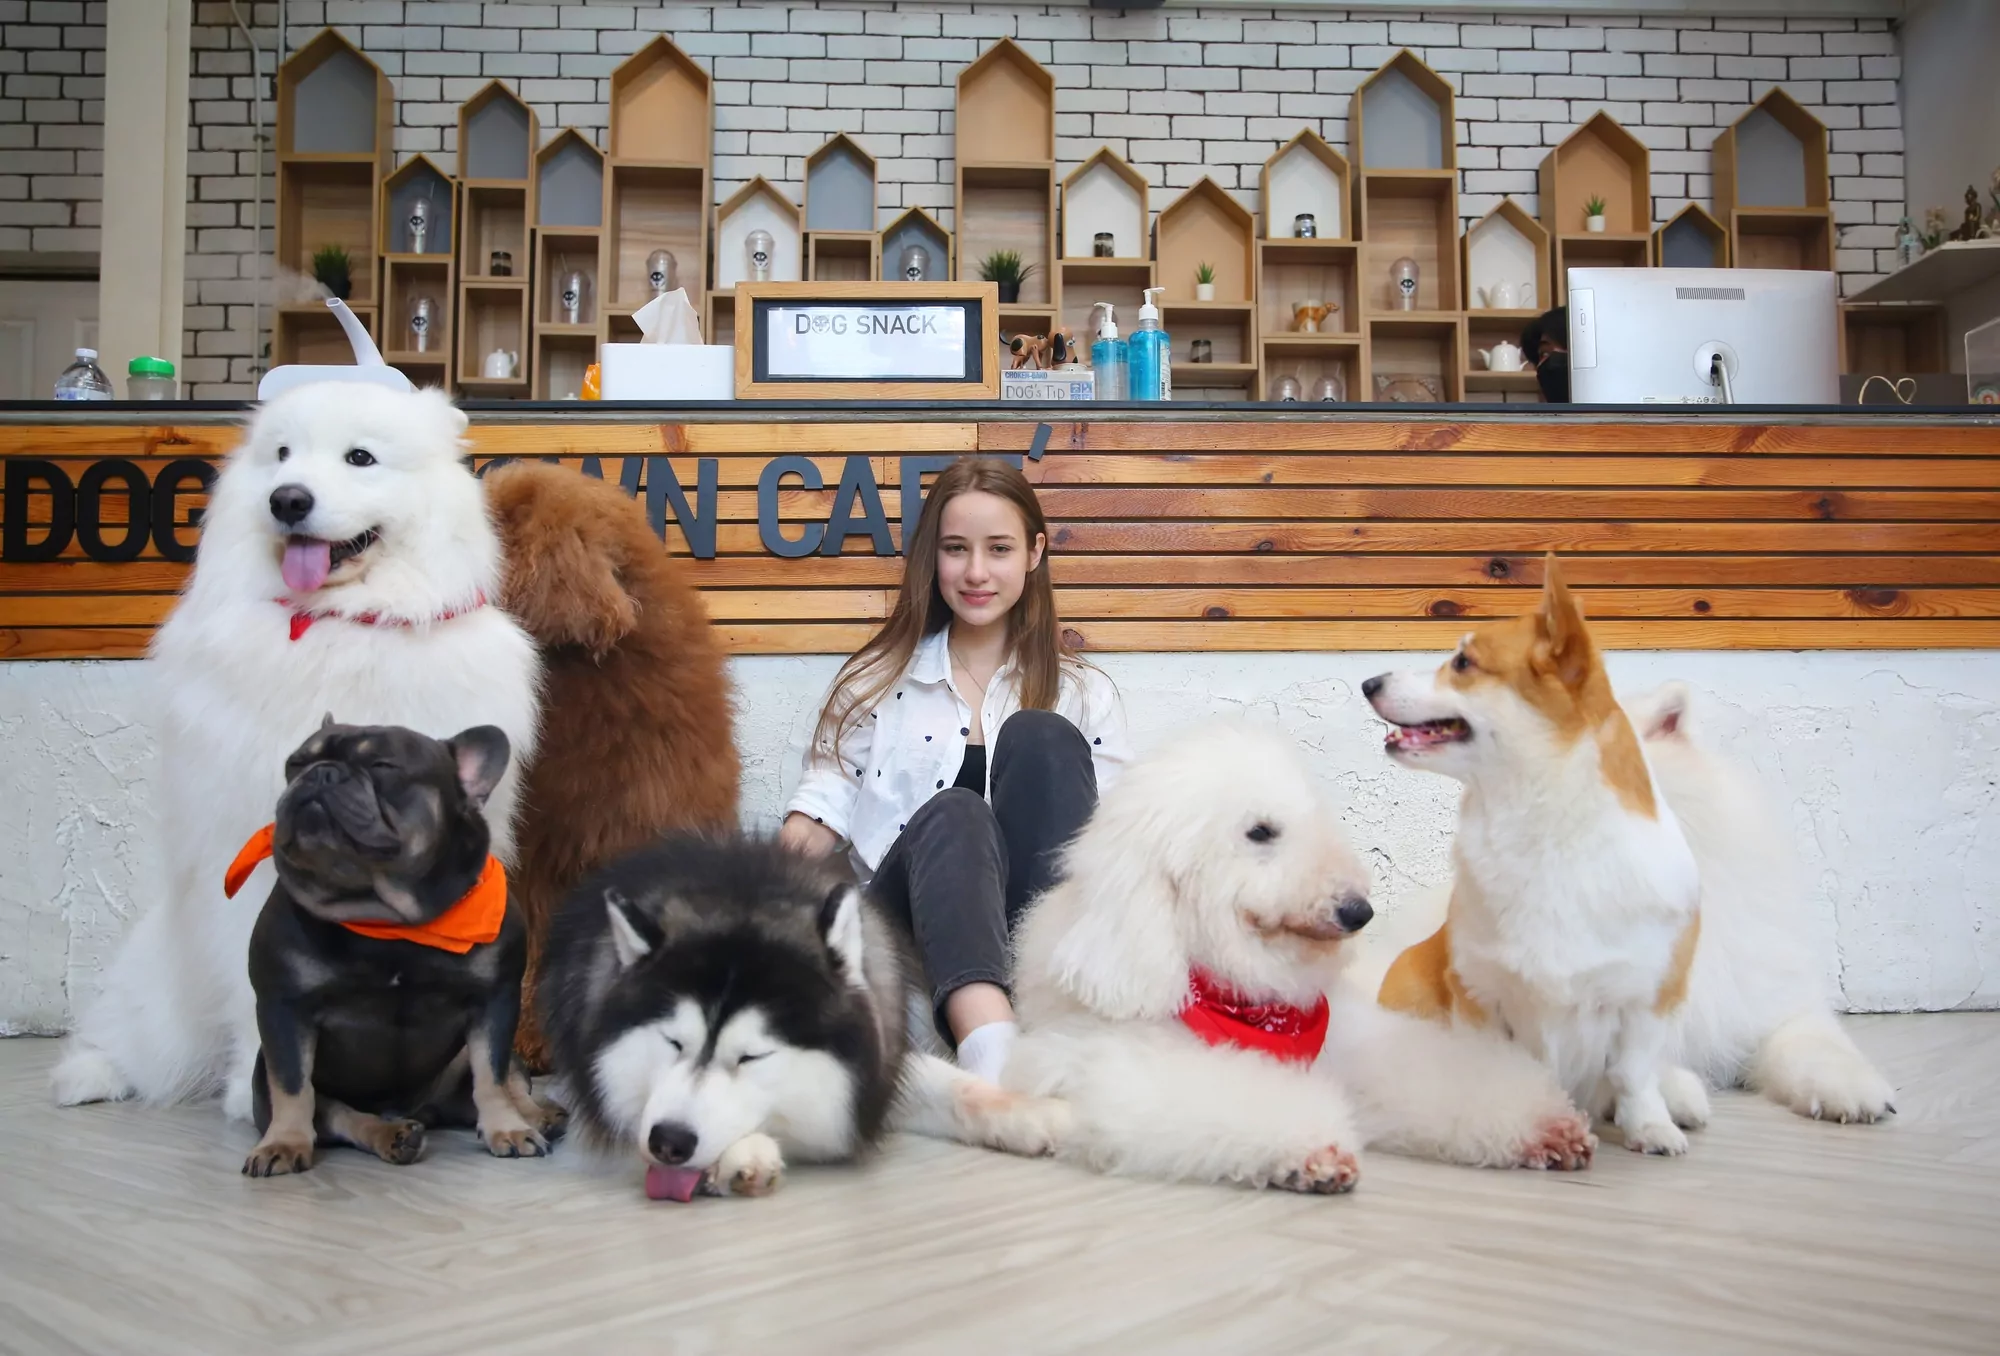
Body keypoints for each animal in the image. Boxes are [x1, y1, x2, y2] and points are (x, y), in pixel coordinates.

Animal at [49, 386, 540, 1128]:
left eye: (360, 458)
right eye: (281, 455)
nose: (287, 499)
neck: (340, 619)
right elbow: (263, 982)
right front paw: (258, 1096)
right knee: (135, 1037)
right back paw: (89, 1074)